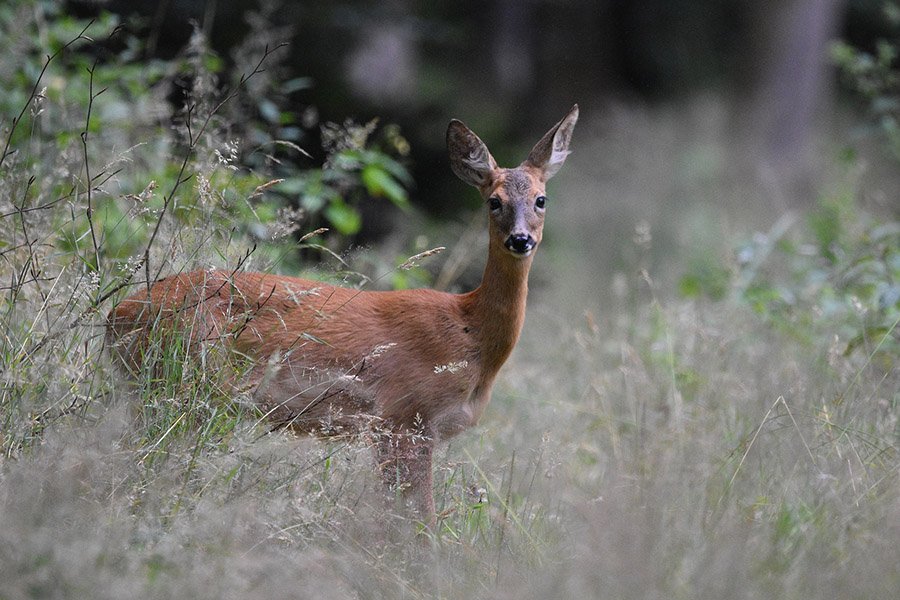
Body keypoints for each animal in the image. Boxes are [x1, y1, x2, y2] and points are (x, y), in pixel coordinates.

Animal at [107, 104, 584, 524]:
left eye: (541, 199)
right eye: (493, 202)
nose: (520, 240)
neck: (470, 334)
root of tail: (116, 316)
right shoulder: (403, 417)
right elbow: (416, 525)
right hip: (185, 381)